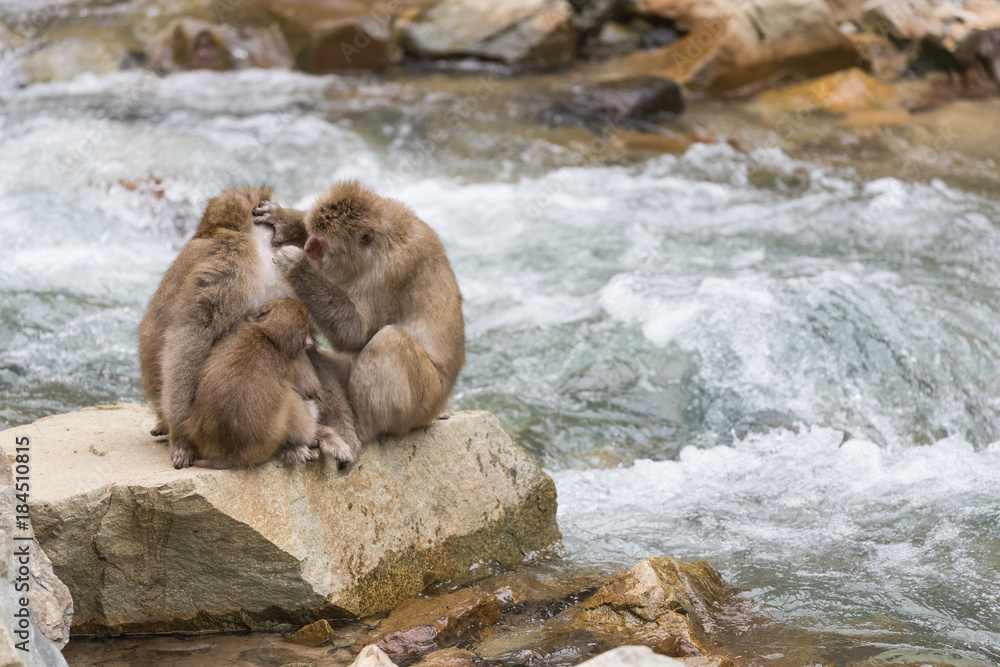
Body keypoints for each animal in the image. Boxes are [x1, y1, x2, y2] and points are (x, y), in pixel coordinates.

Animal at [254, 180, 464, 452]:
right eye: (311, 235)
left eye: (320, 244)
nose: (308, 247)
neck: (381, 242)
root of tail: (439, 404)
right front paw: (287, 219)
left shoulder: (389, 271)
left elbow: (356, 333)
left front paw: (297, 265)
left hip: (422, 404)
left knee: (389, 341)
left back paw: (358, 430)